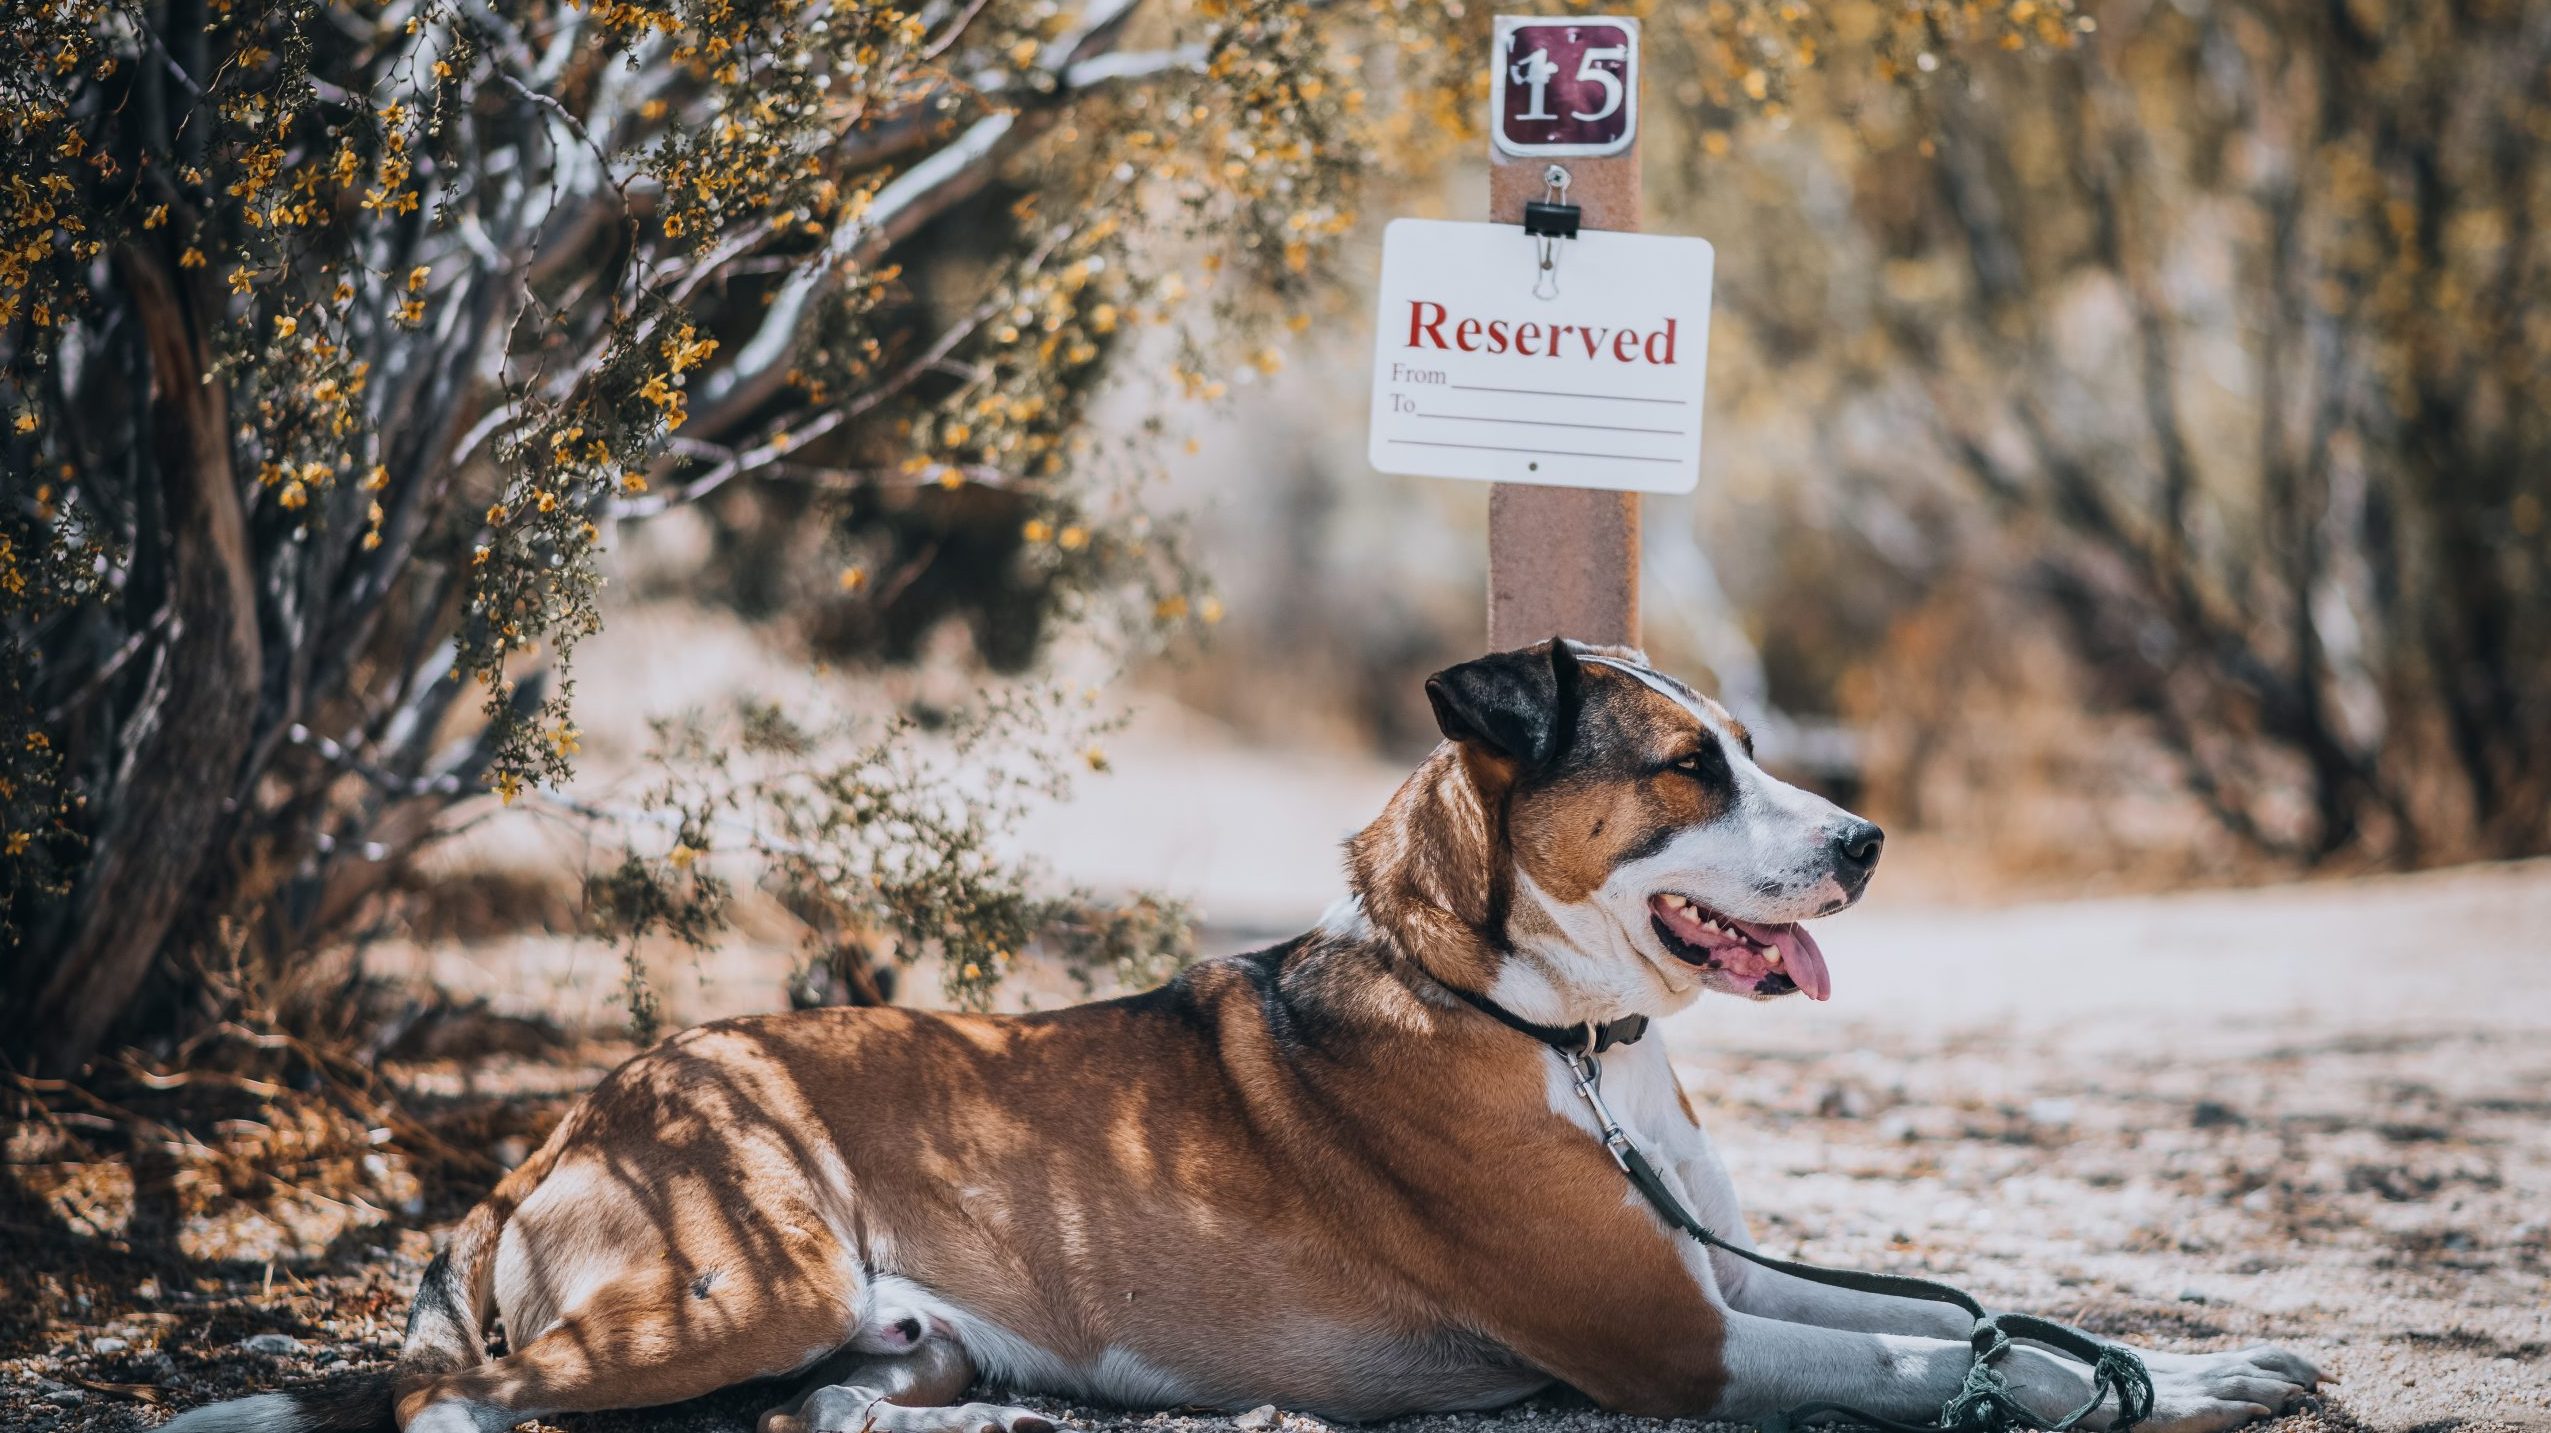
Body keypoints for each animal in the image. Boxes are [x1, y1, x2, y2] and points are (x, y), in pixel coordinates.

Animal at [169, 642, 2336, 1427]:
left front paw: (2214, 1357)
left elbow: (2000, 1311)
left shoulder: (1712, 1274)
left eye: (1754, 736)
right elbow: (1944, 1355)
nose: (1871, 839)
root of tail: (558, 1128)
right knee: (466, 1405)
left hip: (831, 1312)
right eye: (1686, 763)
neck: (1550, 1026)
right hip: (744, 1263)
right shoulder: (1681, 1336)